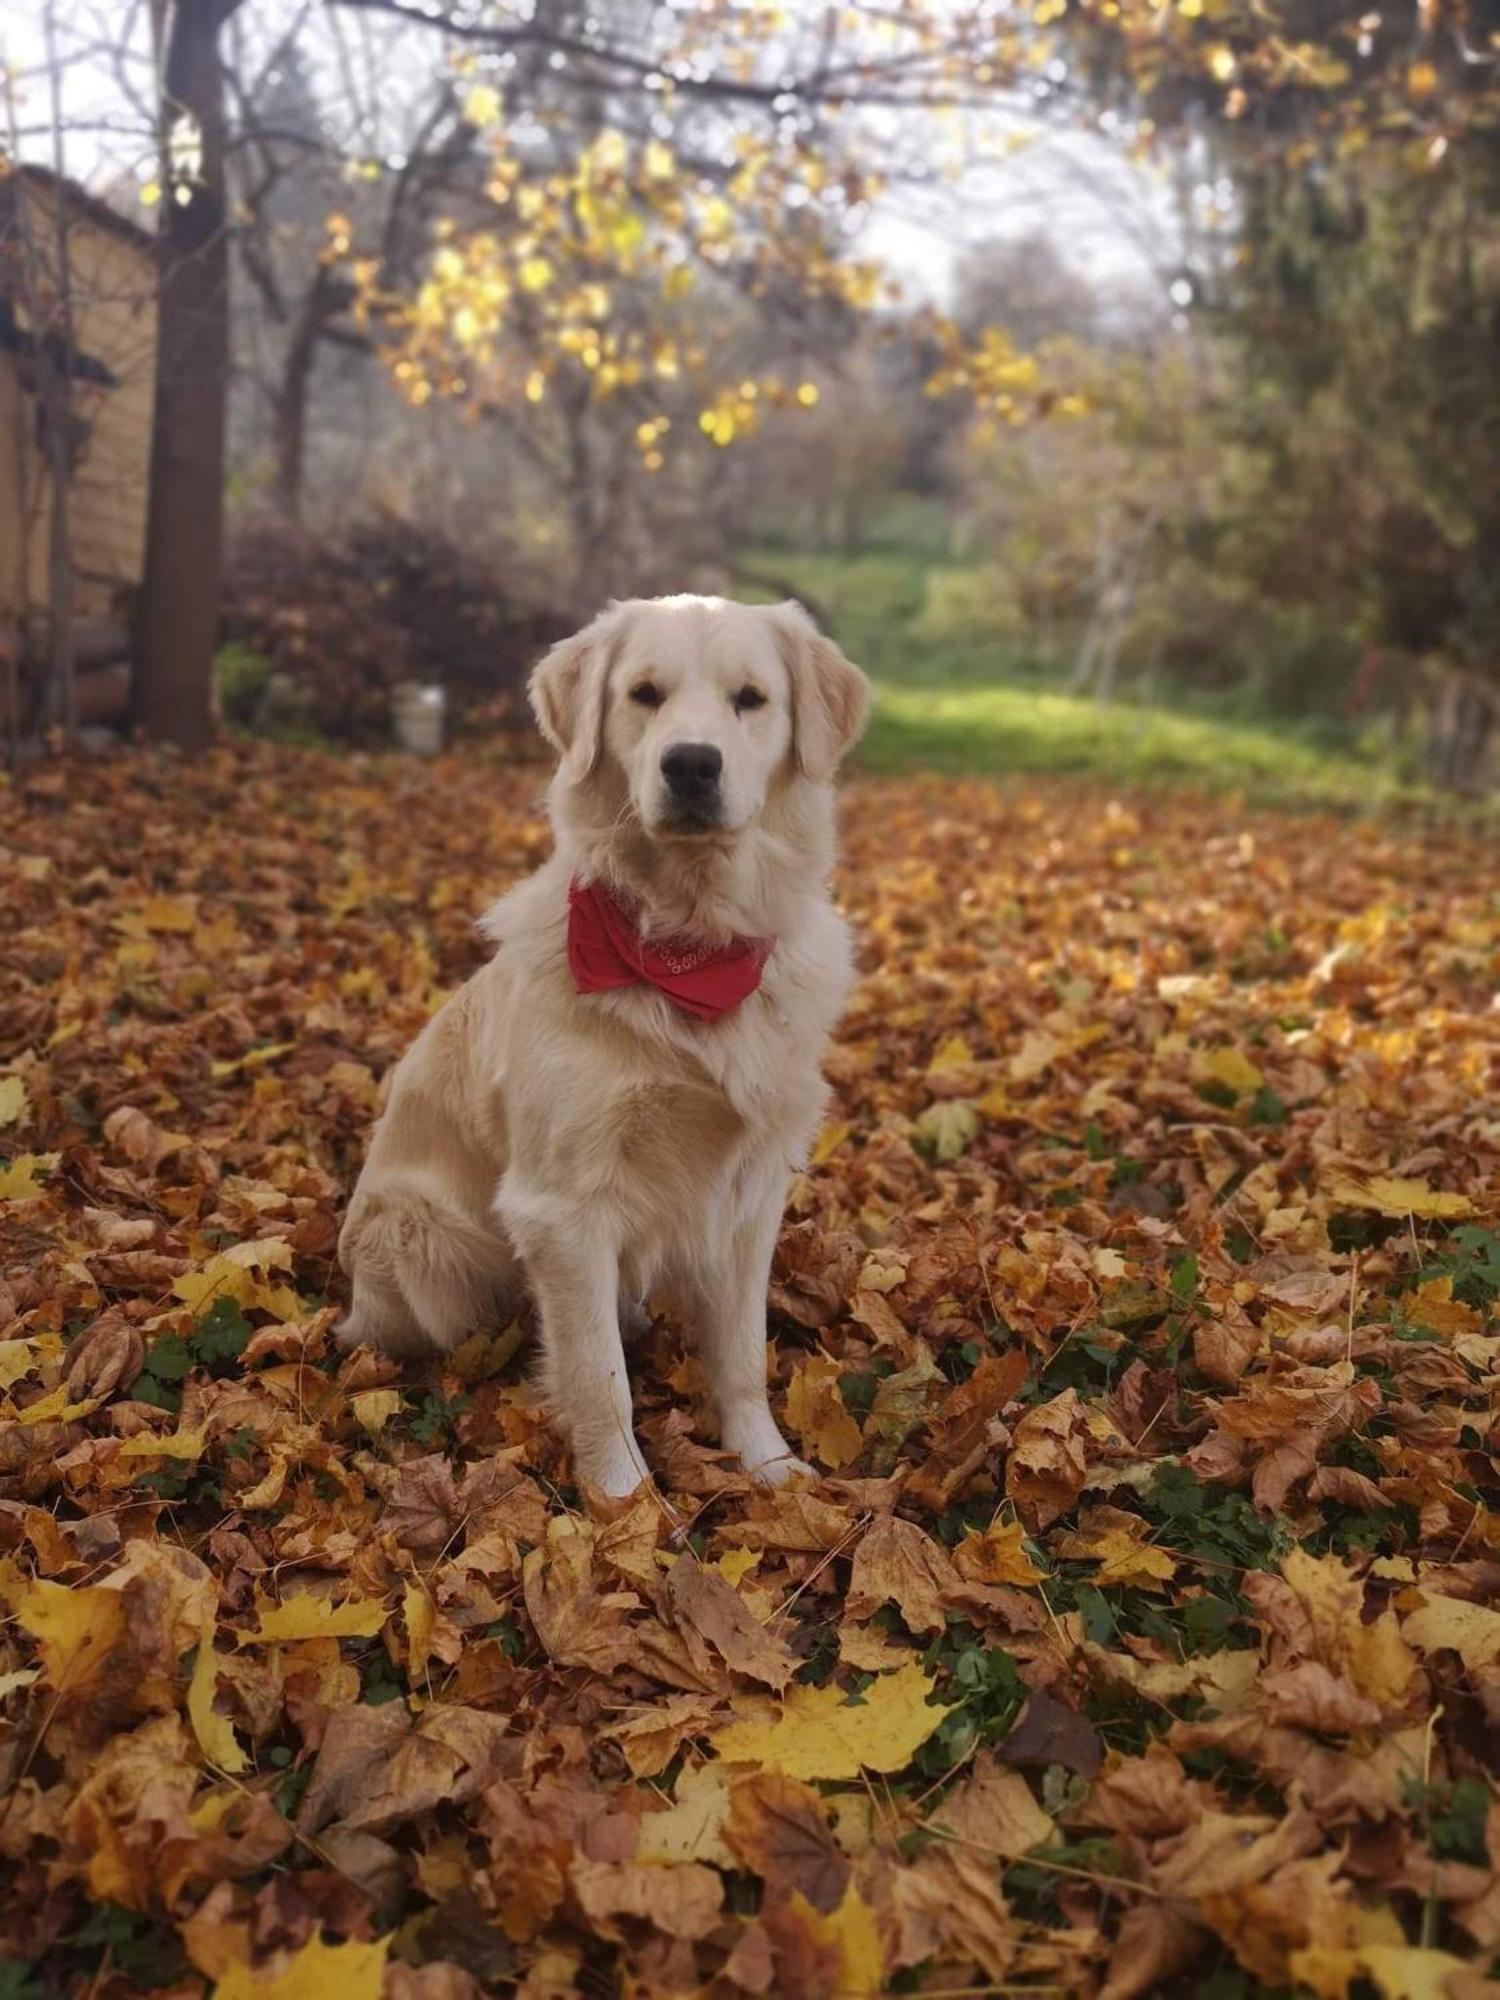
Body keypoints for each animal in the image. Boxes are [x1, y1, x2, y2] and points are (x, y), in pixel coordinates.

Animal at [340, 592, 868, 1504]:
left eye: (751, 699)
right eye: (644, 694)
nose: (691, 765)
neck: (685, 950)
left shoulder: (751, 1191)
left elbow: (742, 1353)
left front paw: (767, 1466)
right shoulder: (562, 1207)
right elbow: (597, 1377)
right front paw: (624, 1504)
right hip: (419, 1234)